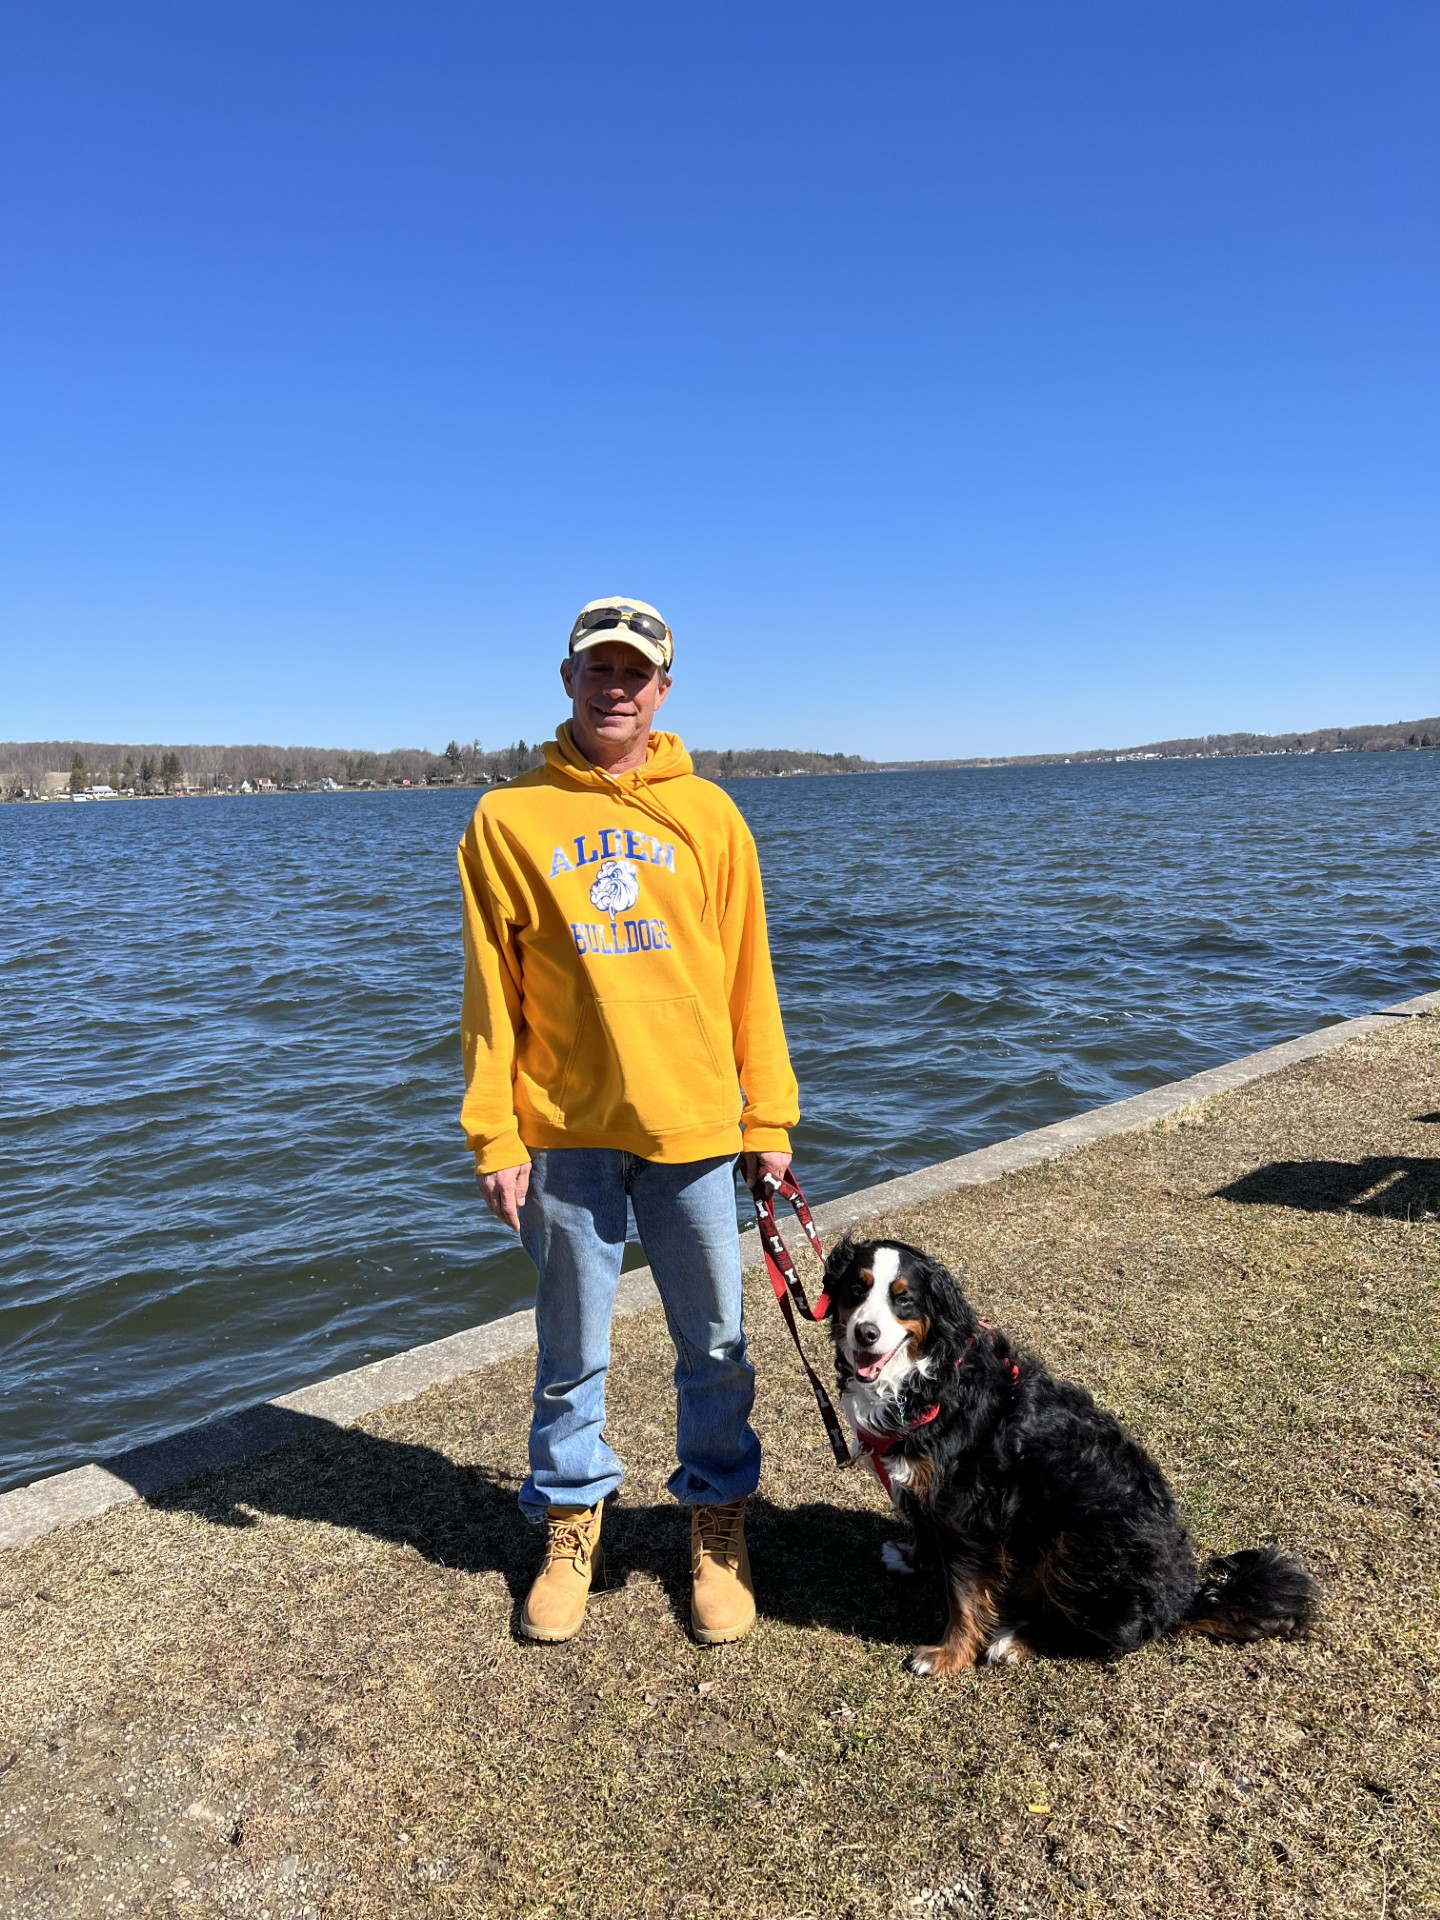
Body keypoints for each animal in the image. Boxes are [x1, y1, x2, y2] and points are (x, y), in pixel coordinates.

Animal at [825, 1235, 1318, 1677]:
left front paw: (948, 1655)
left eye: (903, 1300)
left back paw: (1015, 1641)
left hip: (1072, 1543)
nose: (865, 1333)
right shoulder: (929, 1491)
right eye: (856, 1289)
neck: (923, 1379)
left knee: (1107, 1635)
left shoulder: (969, 1511)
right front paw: (910, 1558)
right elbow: (925, 1530)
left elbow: (963, 1596)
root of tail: (1181, 1600)